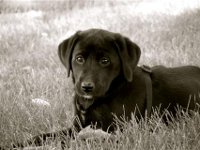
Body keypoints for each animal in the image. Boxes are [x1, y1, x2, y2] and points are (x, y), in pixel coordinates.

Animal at [13, 28, 200, 148]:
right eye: (79, 59)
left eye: (105, 61)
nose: (86, 87)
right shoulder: (76, 127)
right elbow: (47, 135)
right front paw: (21, 143)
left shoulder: (122, 131)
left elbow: (81, 140)